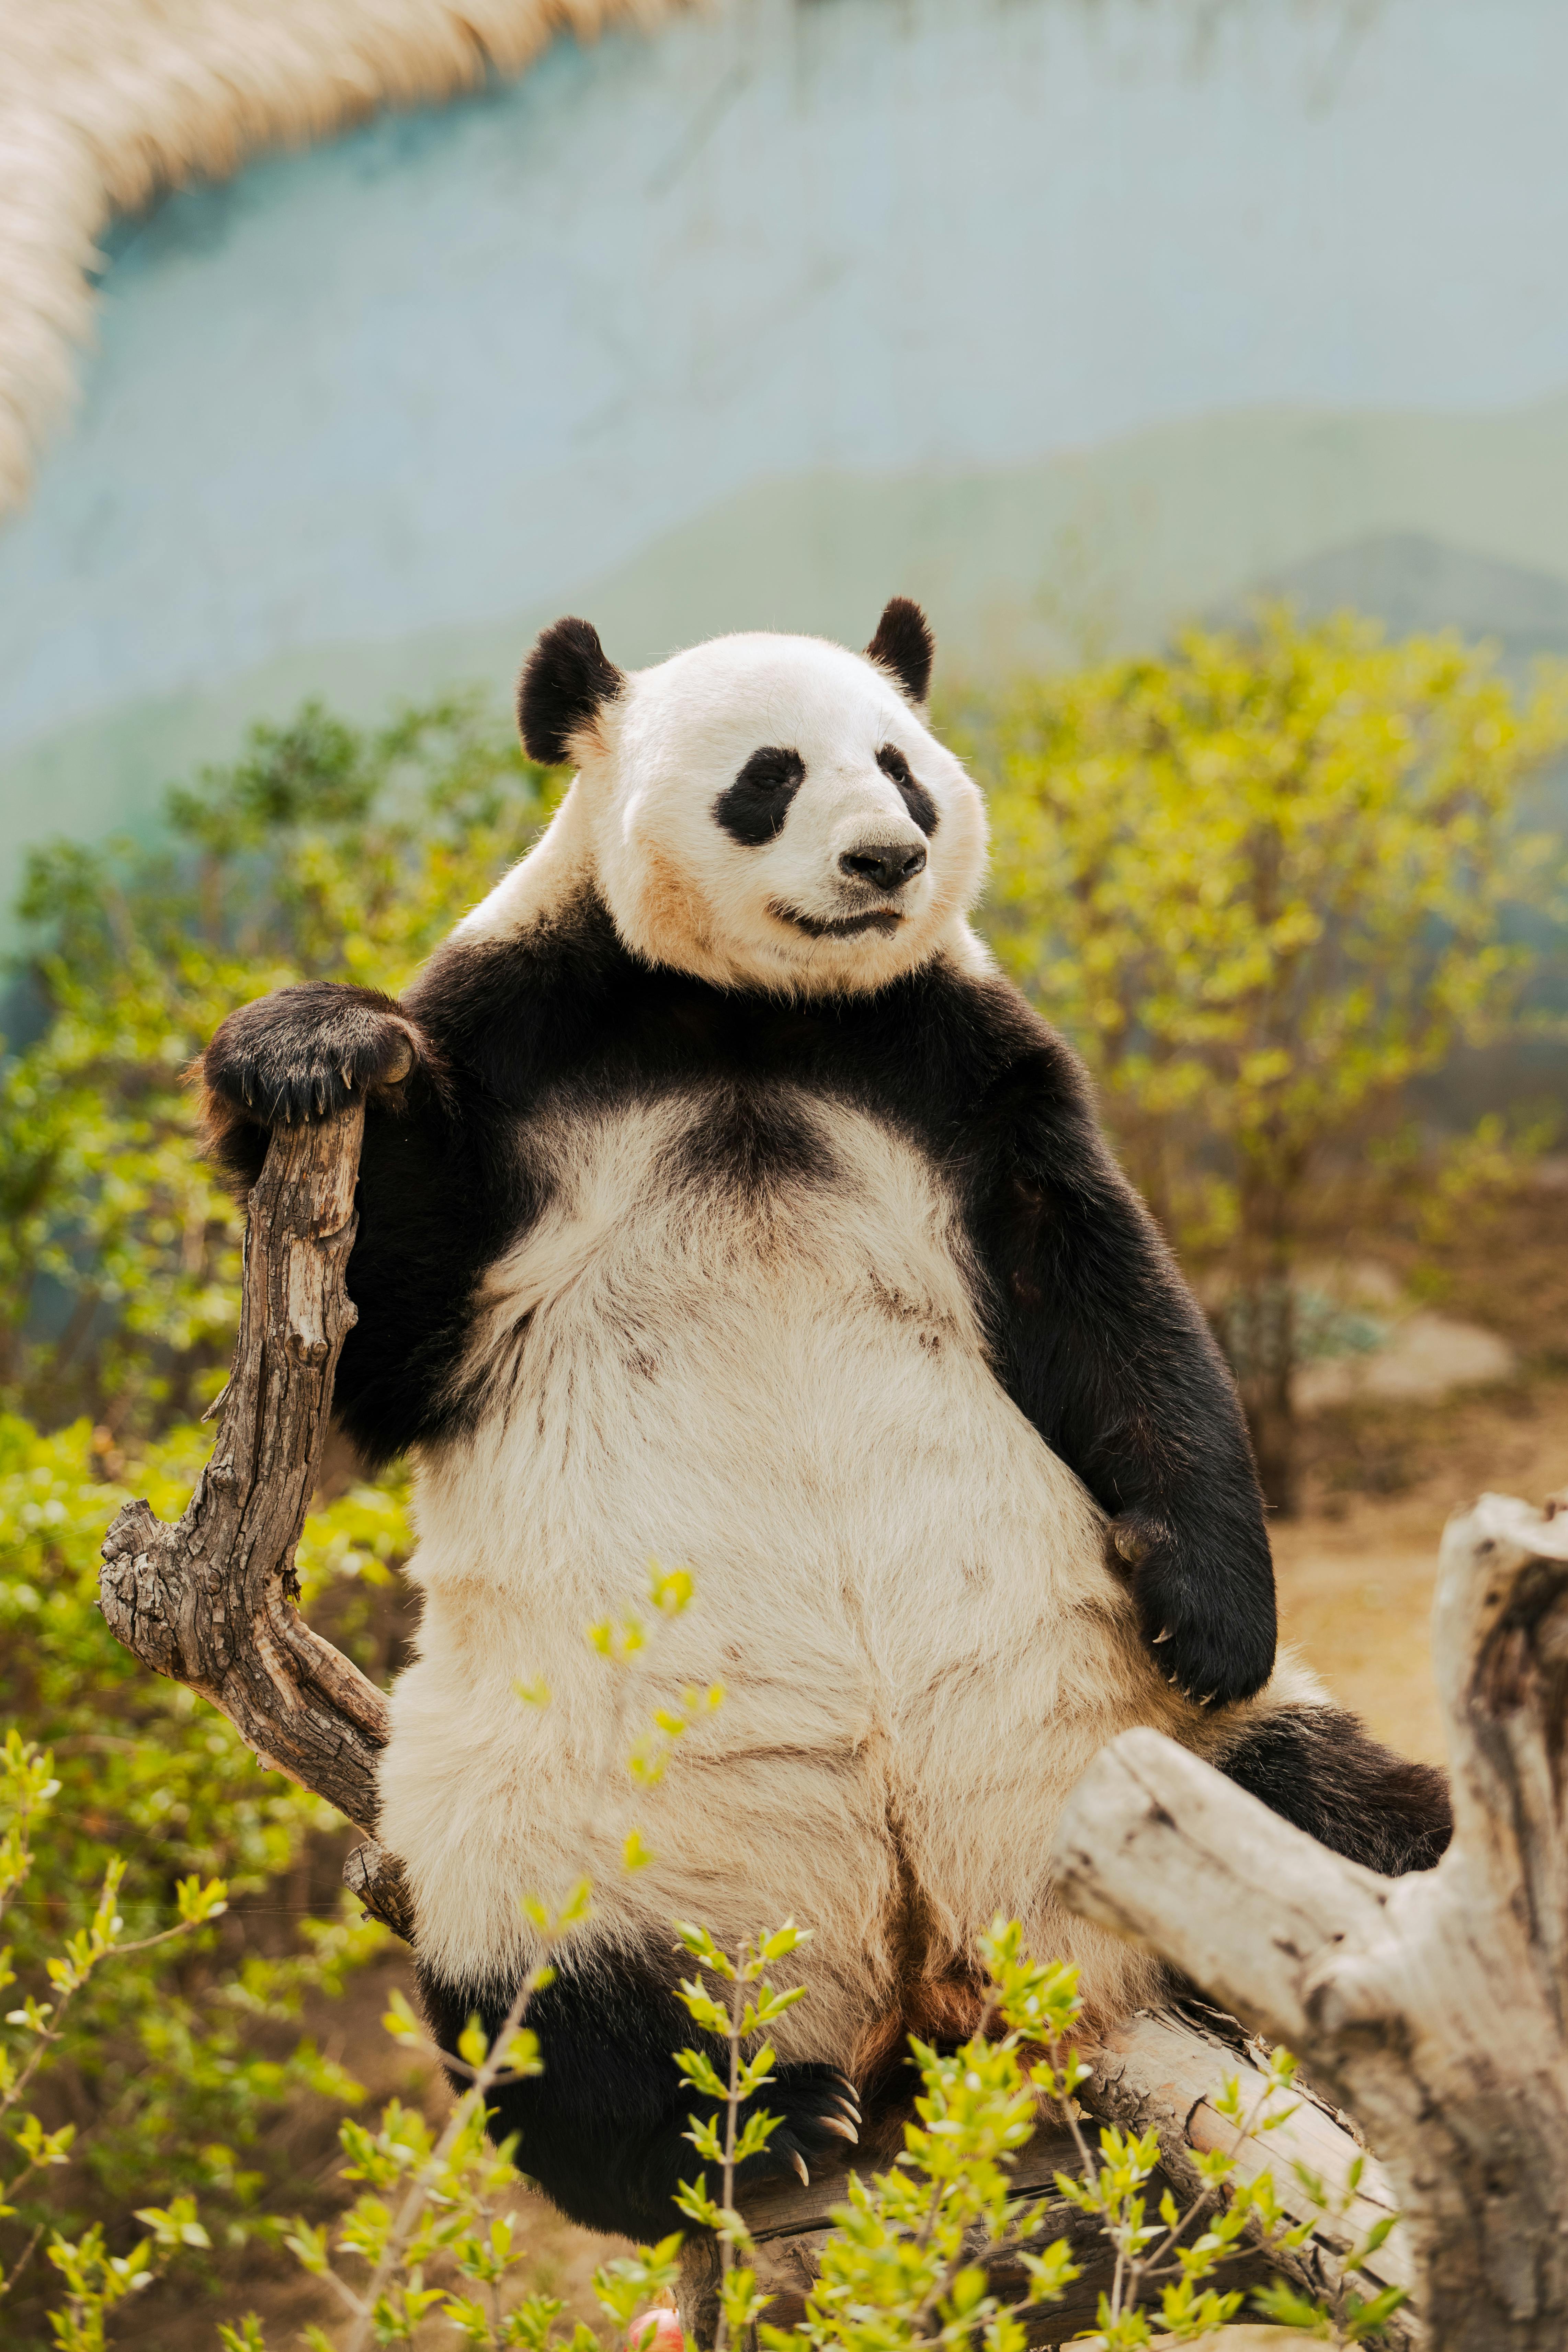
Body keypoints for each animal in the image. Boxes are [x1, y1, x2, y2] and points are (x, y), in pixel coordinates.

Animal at [202, 602, 1457, 2239]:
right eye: (771, 776)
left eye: (903, 764)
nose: (885, 857)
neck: (751, 1018)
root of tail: (937, 1975)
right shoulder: (524, 1046)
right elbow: (386, 1317)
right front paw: (306, 1045)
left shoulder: (955, 1062)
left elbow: (1105, 1298)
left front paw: (1211, 1608)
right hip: (548, 1822)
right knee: (545, 2008)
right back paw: (744, 2128)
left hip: (1138, 1753)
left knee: (1347, 1806)